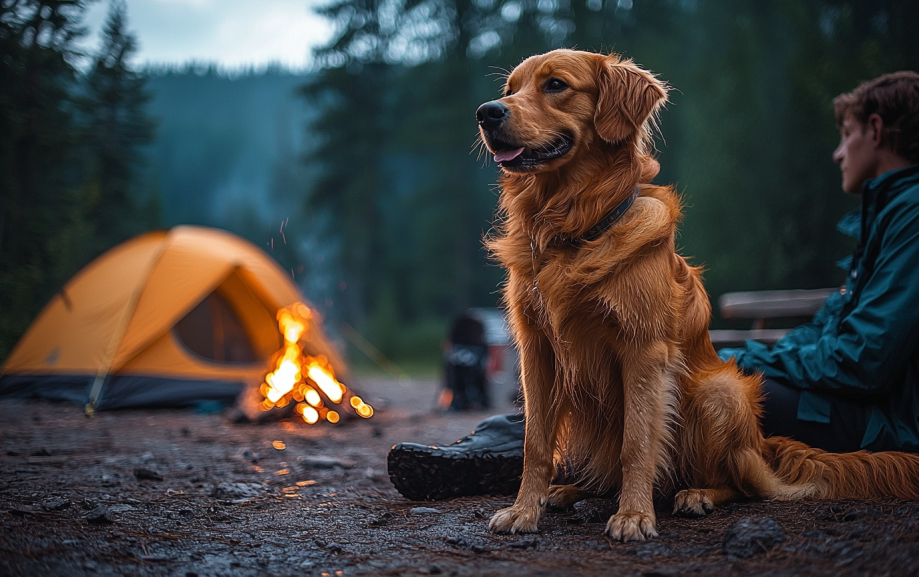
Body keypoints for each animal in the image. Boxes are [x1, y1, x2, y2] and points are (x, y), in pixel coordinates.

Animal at [478, 48, 919, 540]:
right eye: (510, 89)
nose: (486, 113)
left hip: (719, 392)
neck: (573, 230)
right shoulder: (536, 350)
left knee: (738, 484)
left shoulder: (644, 350)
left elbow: (637, 443)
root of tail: (761, 445)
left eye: (555, 84)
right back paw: (571, 492)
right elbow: (535, 443)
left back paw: (697, 494)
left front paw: (634, 515)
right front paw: (524, 510)